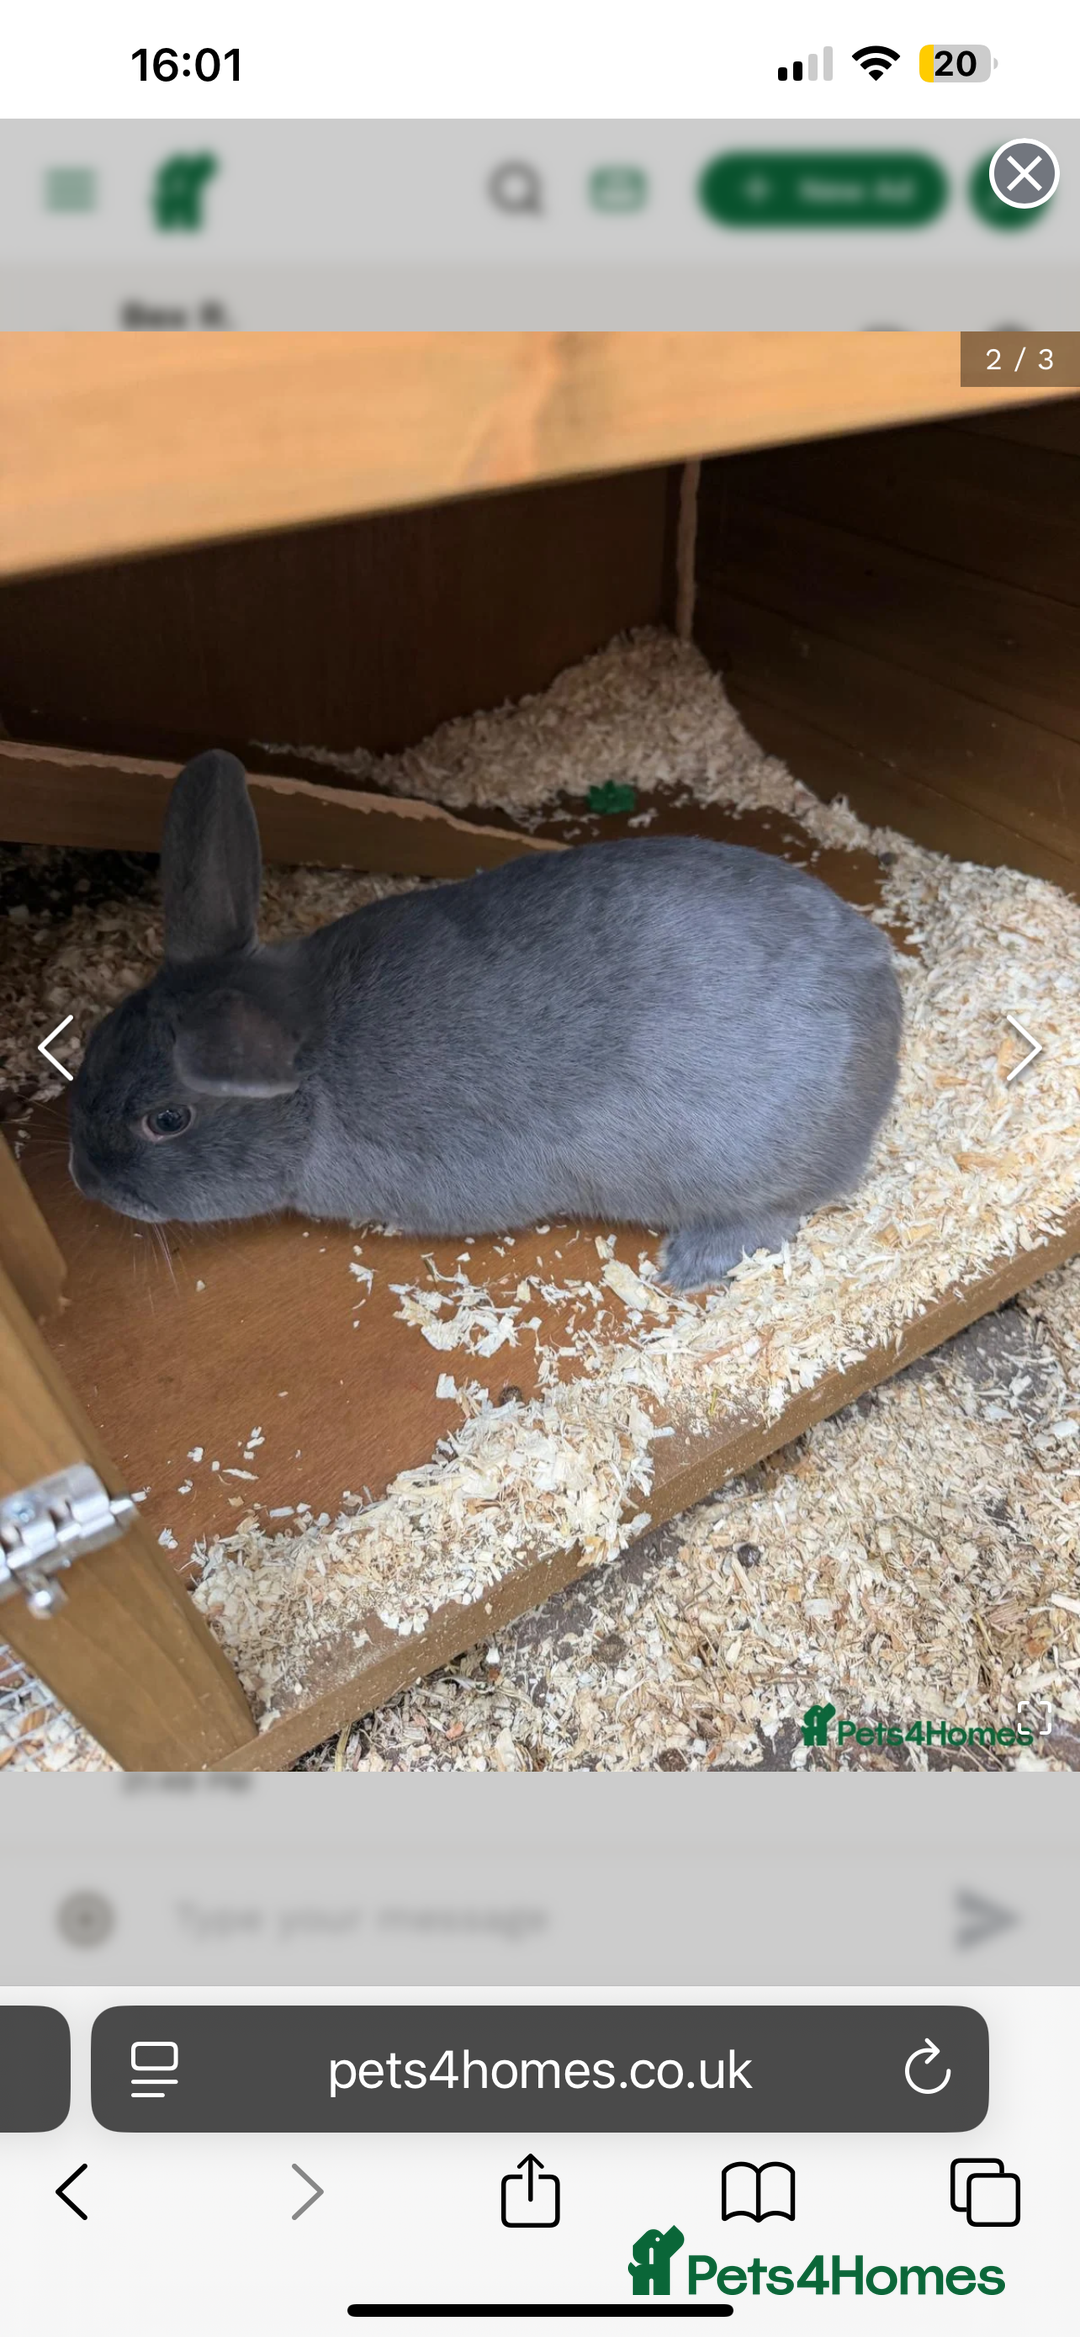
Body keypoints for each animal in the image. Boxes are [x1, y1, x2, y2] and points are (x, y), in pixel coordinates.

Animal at [69, 748, 902, 1289]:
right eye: (97, 1039)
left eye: (166, 1120)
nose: (83, 1179)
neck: (311, 1087)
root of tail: (884, 1001)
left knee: (776, 1212)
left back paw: (691, 1265)